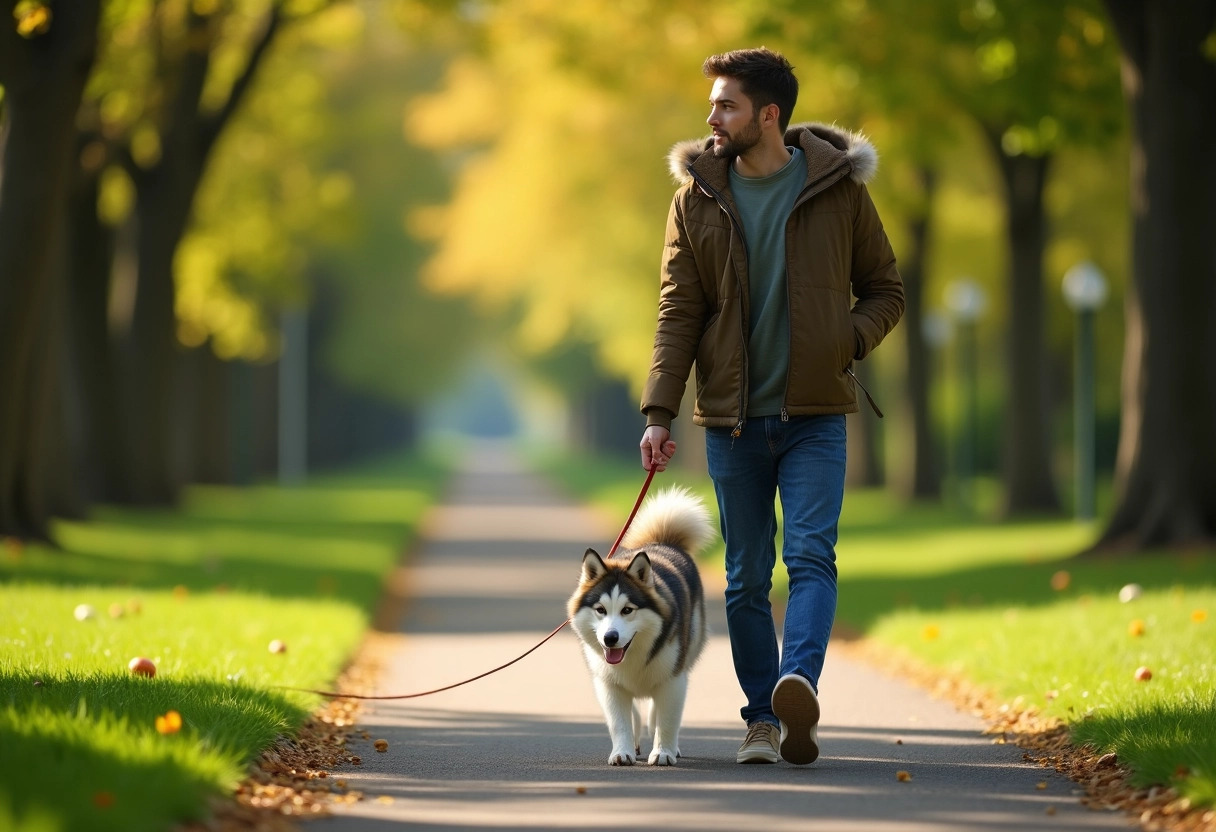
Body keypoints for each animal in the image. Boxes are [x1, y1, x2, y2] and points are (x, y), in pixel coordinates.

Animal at [566, 486, 710, 768]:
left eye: (627, 610)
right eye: (601, 610)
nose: (610, 638)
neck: (632, 655)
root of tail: (663, 542)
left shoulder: (673, 679)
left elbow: (667, 719)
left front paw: (663, 752)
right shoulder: (608, 683)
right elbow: (618, 721)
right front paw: (622, 751)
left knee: (657, 708)